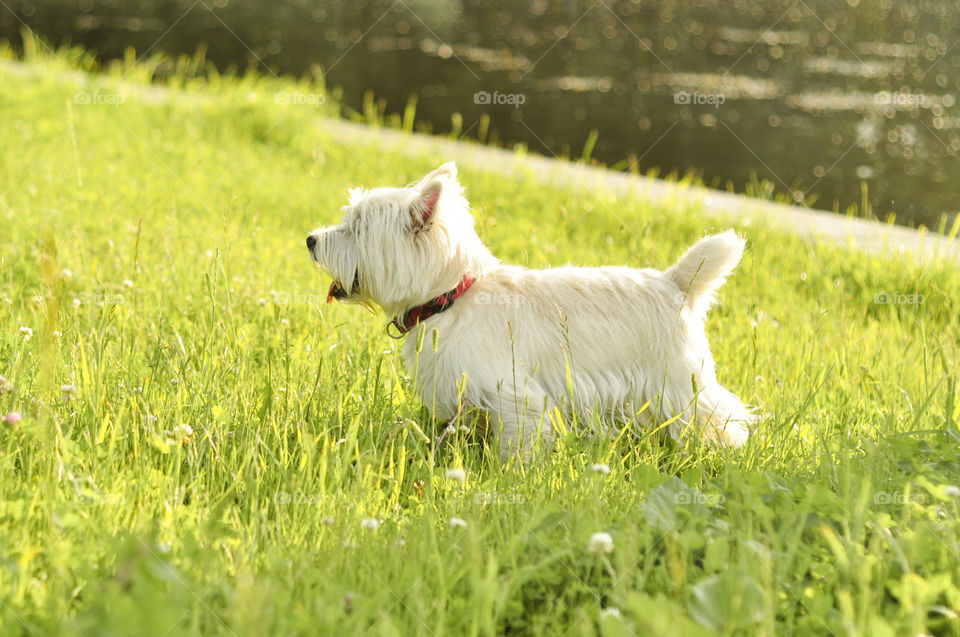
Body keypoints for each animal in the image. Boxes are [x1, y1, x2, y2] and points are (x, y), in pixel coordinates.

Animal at [312, 161, 752, 454]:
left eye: (357, 228)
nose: (310, 240)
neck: (452, 297)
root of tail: (676, 282)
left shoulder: (516, 394)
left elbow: (517, 446)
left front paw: (508, 474)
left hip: (678, 384)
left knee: (719, 418)